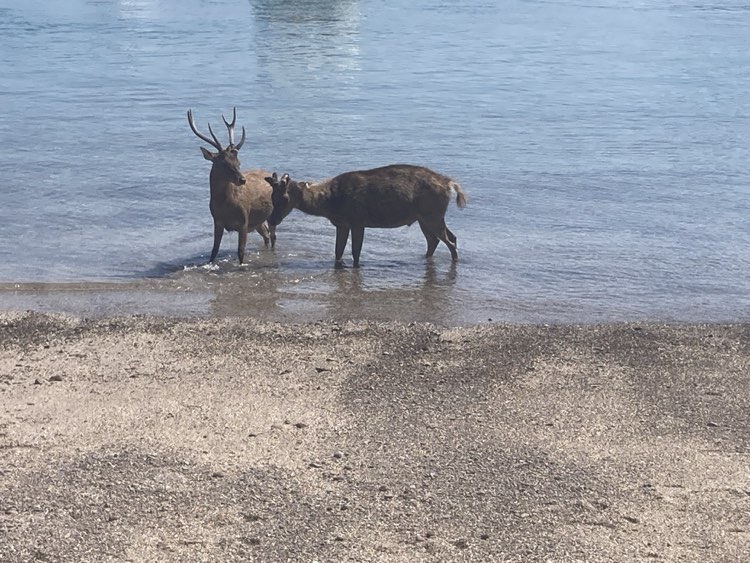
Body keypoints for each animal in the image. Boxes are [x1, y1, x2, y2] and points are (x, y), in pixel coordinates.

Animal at [187, 108, 276, 264]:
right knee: (265, 235)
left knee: (272, 237)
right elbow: (214, 250)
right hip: (258, 221)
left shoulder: (244, 221)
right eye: (223, 163)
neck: (225, 207)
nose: (242, 180)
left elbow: (240, 251)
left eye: (238, 162)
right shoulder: (217, 221)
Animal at [262, 164, 464, 268]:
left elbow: (356, 251)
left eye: (285, 198)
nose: (272, 220)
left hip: (432, 214)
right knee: (439, 239)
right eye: (272, 196)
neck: (330, 203)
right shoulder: (342, 224)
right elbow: (338, 251)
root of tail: (451, 184)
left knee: (448, 240)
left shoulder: (358, 220)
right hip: (425, 218)